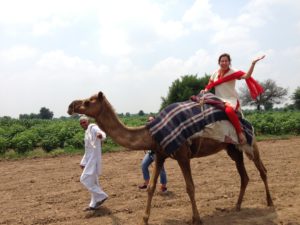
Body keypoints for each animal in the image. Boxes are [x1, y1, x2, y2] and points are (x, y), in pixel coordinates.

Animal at [68, 92, 274, 225]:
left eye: (89, 101)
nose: (71, 106)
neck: (151, 133)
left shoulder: (183, 155)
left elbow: (190, 187)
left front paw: (197, 218)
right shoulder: (160, 155)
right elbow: (151, 187)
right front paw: (144, 219)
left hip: (249, 141)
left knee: (262, 170)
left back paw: (270, 203)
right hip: (232, 148)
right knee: (244, 175)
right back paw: (237, 207)